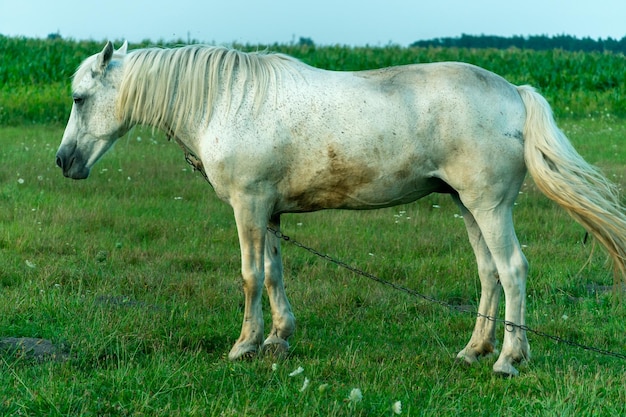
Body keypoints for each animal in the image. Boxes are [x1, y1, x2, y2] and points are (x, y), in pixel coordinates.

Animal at [56, 40, 620, 376]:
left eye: (80, 99)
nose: (64, 161)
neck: (227, 100)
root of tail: (515, 93)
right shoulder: (270, 212)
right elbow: (275, 274)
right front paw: (279, 339)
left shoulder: (248, 206)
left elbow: (250, 276)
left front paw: (245, 345)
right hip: (469, 206)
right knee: (489, 273)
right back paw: (473, 350)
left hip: (489, 206)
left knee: (513, 270)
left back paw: (507, 359)